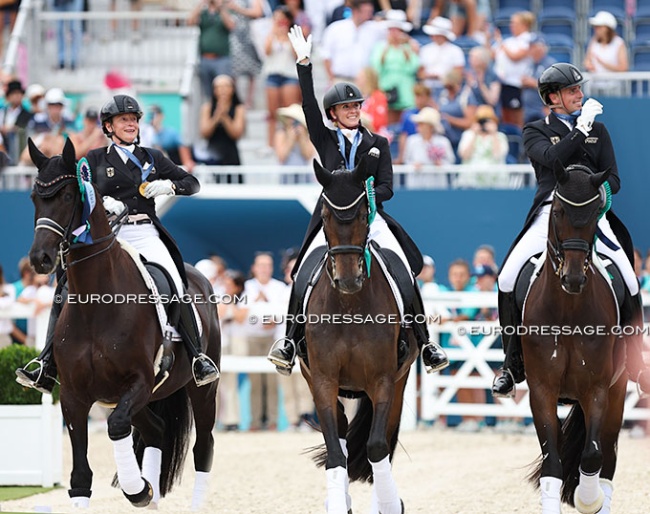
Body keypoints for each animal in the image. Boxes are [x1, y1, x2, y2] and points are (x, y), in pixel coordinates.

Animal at [25, 139, 220, 508]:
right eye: (34, 197)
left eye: (68, 196)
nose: (40, 259)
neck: (96, 307)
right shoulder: (73, 397)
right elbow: (80, 478)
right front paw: (143, 487)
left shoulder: (139, 381)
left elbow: (116, 427)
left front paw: (137, 488)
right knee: (157, 429)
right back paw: (153, 492)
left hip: (201, 390)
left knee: (203, 447)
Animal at [302, 160, 418, 512]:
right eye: (325, 215)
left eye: (365, 214)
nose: (348, 279)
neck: (350, 305)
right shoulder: (323, 380)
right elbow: (335, 453)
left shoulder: (383, 380)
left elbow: (377, 446)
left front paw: (391, 505)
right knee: (340, 437)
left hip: (399, 382)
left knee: (384, 443)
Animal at [520, 162, 624, 510]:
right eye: (559, 211)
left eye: (594, 214)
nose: (574, 278)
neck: (567, 310)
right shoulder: (542, 389)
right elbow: (553, 465)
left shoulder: (597, 389)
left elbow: (591, 456)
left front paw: (587, 499)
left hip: (618, 394)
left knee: (607, 461)